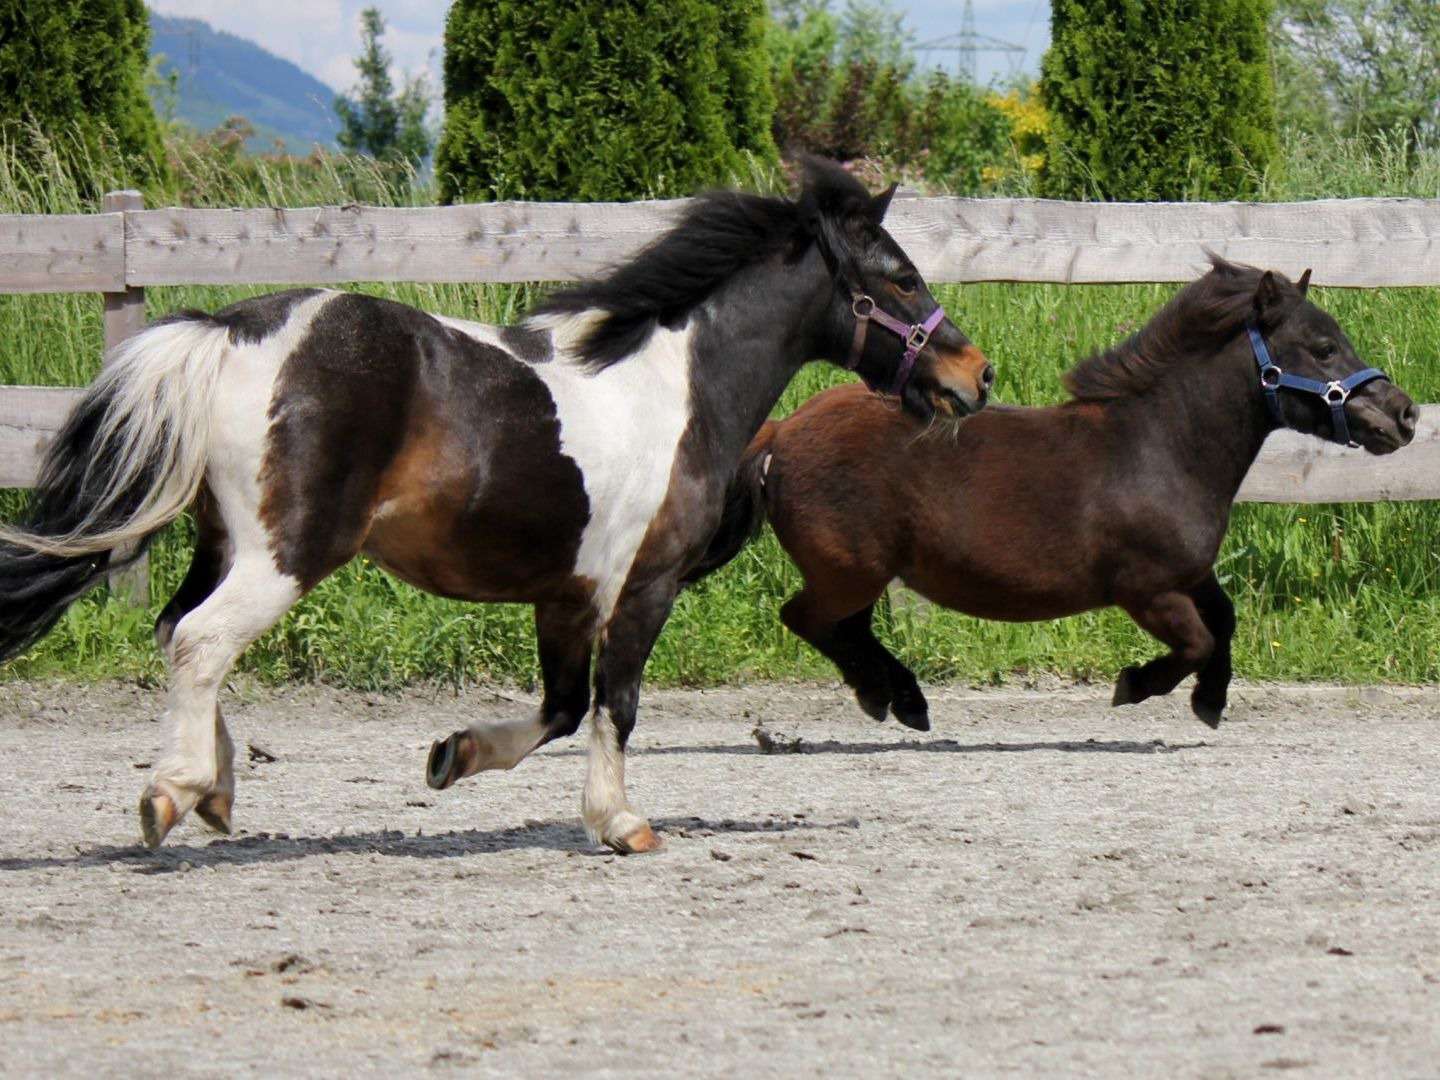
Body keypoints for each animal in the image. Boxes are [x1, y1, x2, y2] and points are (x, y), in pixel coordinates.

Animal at [0, 162, 990, 852]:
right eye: (901, 276)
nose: (973, 376)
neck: (678, 389)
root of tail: (229, 329)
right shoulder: (644, 586)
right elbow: (615, 705)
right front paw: (622, 823)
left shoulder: (566, 595)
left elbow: (558, 709)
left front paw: (453, 756)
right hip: (287, 553)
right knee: (202, 641)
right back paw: (170, 792)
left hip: (223, 543)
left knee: (175, 628)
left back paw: (217, 789)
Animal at [696, 260, 1416, 731]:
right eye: (1322, 346)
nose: (1404, 415)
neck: (1159, 448)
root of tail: (781, 430)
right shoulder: (1146, 590)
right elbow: (1197, 642)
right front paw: (1135, 687)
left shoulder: (1190, 573)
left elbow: (1227, 622)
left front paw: (1209, 704)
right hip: (849, 571)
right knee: (807, 619)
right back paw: (898, 699)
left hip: (859, 576)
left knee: (843, 630)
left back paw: (893, 697)